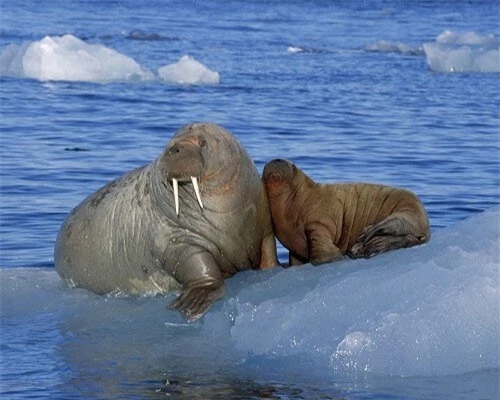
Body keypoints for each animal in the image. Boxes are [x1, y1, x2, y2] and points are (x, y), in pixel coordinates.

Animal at [57, 122, 282, 322]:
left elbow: (268, 251)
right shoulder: (175, 240)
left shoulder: (264, 227)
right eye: (170, 142)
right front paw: (192, 303)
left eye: (202, 143)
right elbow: (196, 264)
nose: (173, 149)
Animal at [262, 159, 430, 266]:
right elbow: (296, 259)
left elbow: (319, 245)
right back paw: (362, 248)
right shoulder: (294, 248)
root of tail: (427, 228)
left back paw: (365, 237)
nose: (276, 160)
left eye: (293, 166)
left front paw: (332, 258)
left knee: (391, 227)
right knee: (402, 238)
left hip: (408, 211)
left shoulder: (318, 222)